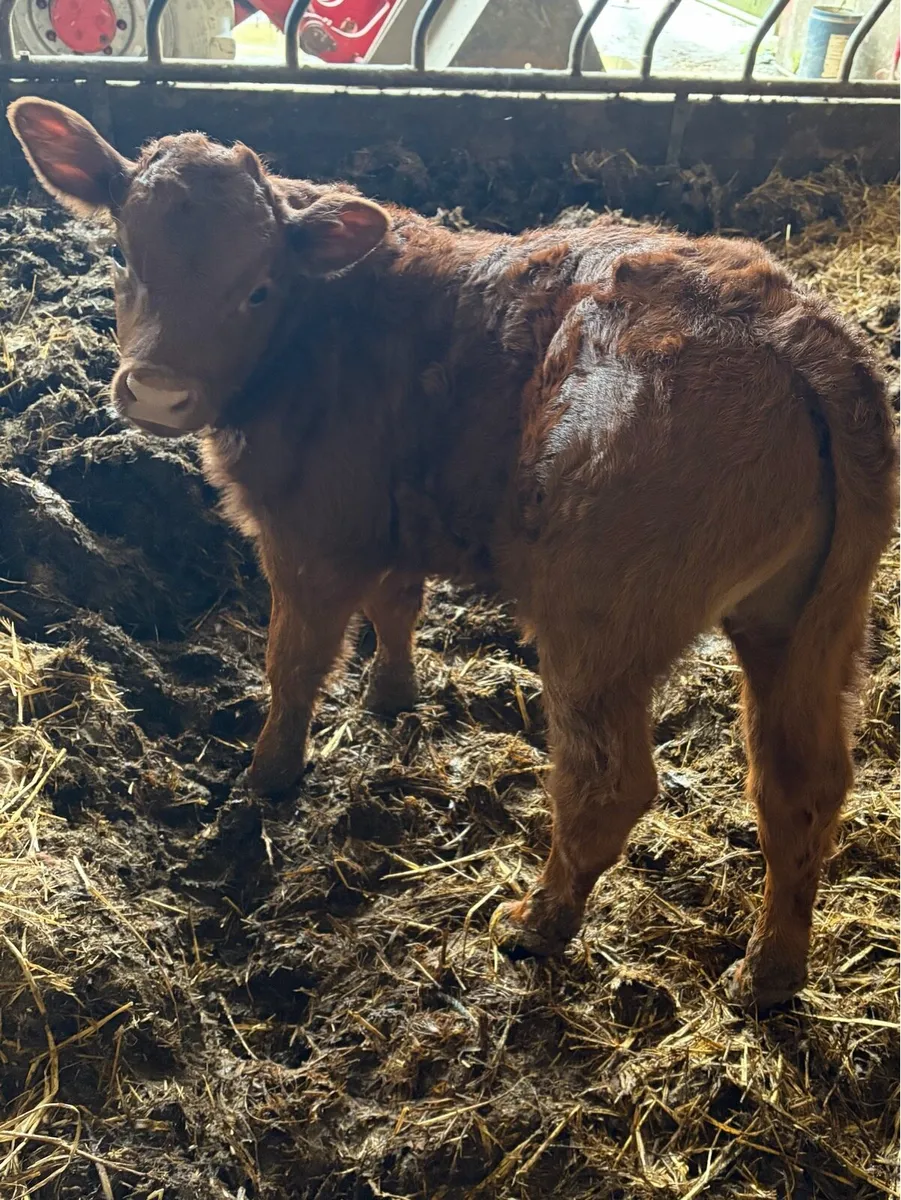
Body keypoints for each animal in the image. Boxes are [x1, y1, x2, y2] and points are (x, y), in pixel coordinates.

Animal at [8, 98, 897, 1010]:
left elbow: (292, 666)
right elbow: (396, 605)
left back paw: (536, 924)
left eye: (257, 288)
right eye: (124, 253)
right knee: (801, 784)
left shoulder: (310, 537)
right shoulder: (392, 517)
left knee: (607, 783)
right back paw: (768, 972)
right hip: (811, 625)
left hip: (599, 625)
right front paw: (390, 695)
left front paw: (267, 775)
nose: (156, 393)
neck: (322, 327)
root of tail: (786, 326)